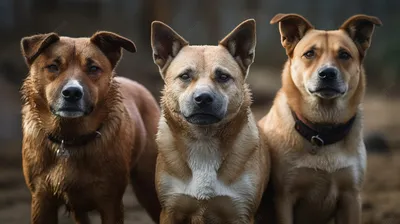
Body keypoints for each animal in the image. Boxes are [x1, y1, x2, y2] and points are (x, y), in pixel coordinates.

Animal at [20, 31, 161, 224]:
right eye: (53, 66)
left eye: (93, 68)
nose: (72, 92)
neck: (69, 138)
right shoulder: (42, 201)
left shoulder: (111, 202)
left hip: (149, 186)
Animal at [151, 19, 272, 224]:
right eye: (185, 76)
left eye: (223, 76)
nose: (203, 98)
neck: (204, 141)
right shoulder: (170, 210)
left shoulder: (241, 212)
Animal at [255, 14, 382, 224]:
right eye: (309, 54)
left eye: (344, 55)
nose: (327, 73)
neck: (322, 130)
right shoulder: (284, 198)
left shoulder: (351, 197)